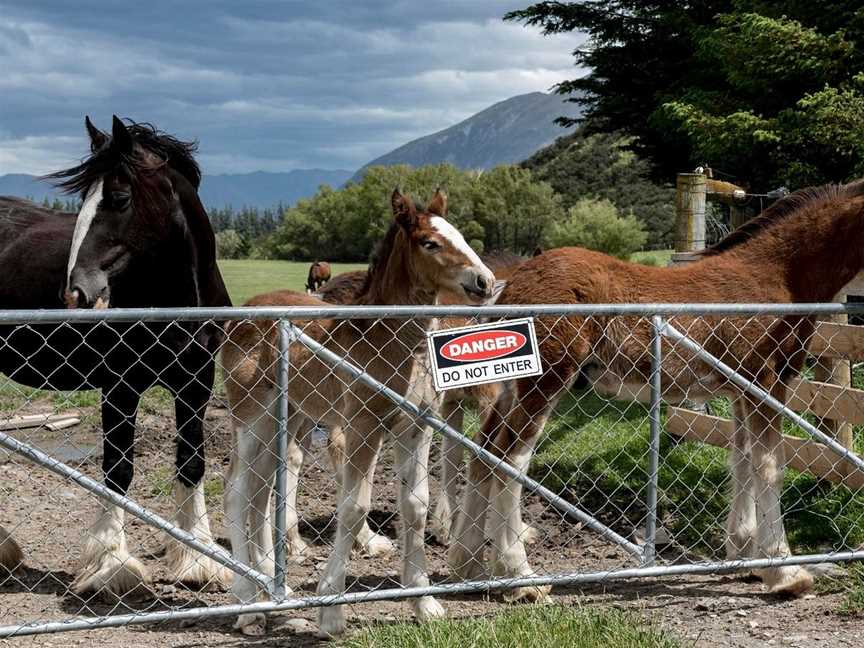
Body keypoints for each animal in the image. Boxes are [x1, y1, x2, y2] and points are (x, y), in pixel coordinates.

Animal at [0, 117, 231, 596]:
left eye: (120, 198)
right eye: (81, 202)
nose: (75, 294)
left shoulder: (196, 384)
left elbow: (192, 463)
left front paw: (197, 559)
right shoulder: (120, 386)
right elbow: (117, 469)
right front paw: (111, 564)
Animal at [219, 190, 496, 636]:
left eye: (461, 235)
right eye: (429, 243)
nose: (484, 282)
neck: (389, 342)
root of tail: (243, 314)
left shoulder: (417, 427)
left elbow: (415, 506)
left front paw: (425, 603)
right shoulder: (363, 425)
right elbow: (353, 508)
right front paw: (331, 611)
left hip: (285, 418)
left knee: (260, 493)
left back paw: (272, 589)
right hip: (251, 417)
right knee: (236, 490)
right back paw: (247, 605)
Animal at [448, 181, 864, 604]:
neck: (777, 275)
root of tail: (509, 285)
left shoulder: (739, 390)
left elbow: (742, 460)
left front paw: (744, 554)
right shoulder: (765, 381)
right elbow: (769, 466)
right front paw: (784, 572)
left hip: (511, 387)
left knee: (482, 453)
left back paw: (468, 565)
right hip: (545, 381)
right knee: (510, 459)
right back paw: (520, 578)